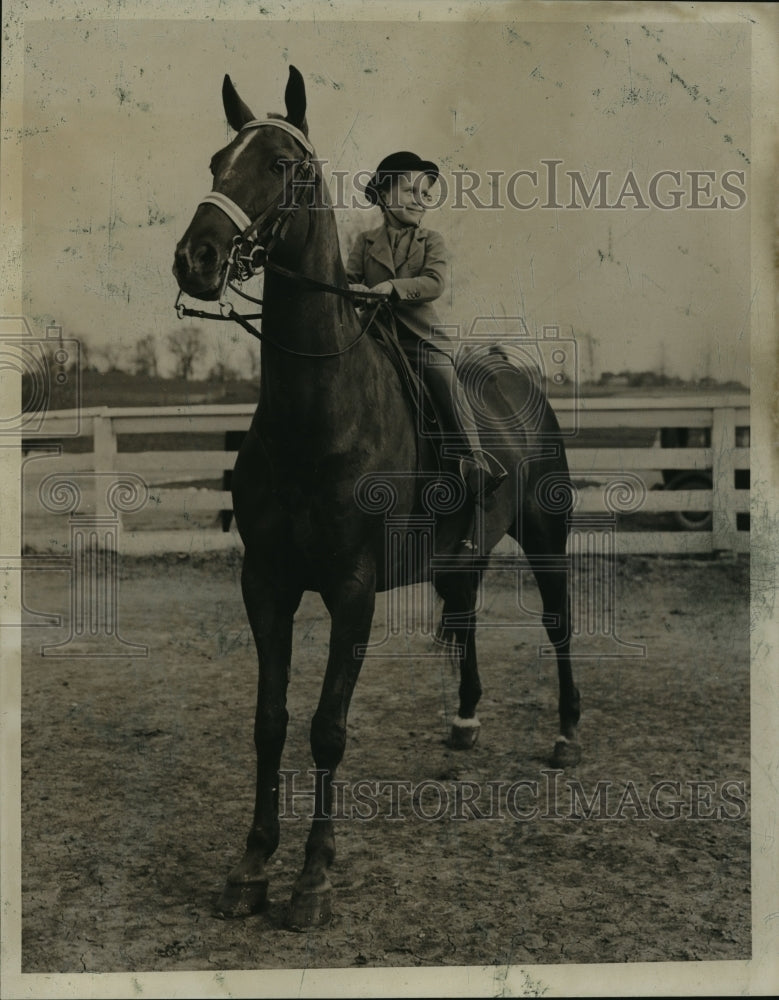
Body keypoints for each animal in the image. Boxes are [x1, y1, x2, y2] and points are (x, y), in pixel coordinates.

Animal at [174, 68, 580, 928]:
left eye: (281, 166)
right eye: (218, 160)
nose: (196, 257)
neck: (317, 410)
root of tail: (516, 377)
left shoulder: (352, 590)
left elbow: (327, 727)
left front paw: (312, 877)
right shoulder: (265, 584)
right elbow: (269, 722)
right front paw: (251, 866)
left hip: (546, 538)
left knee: (559, 624)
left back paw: (567, 734)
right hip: (460, 557)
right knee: (464, 618)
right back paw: (463, 721)